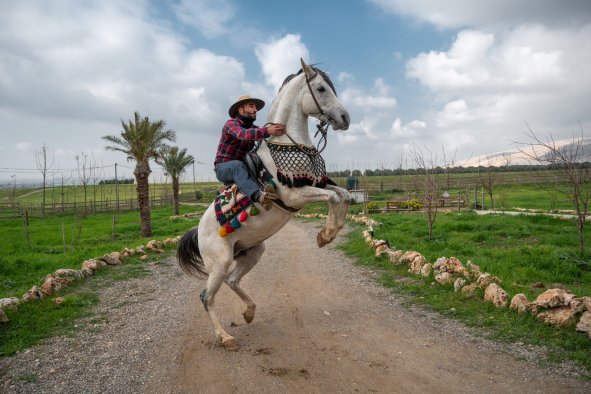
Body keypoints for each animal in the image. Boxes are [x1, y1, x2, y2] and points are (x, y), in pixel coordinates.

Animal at [176, 57, 352, 348]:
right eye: (321, 88)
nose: (345, 118)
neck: (286, 144)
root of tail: (198, 231)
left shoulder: (315, 183)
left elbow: (344, 195)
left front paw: (327, 235)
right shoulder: (294, 194)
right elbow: (334, 197)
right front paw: (325, 235)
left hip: (252, 252)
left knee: (233, 281)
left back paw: (249, 312)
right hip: (220, 262)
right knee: (206, 296)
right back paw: (225, 337)